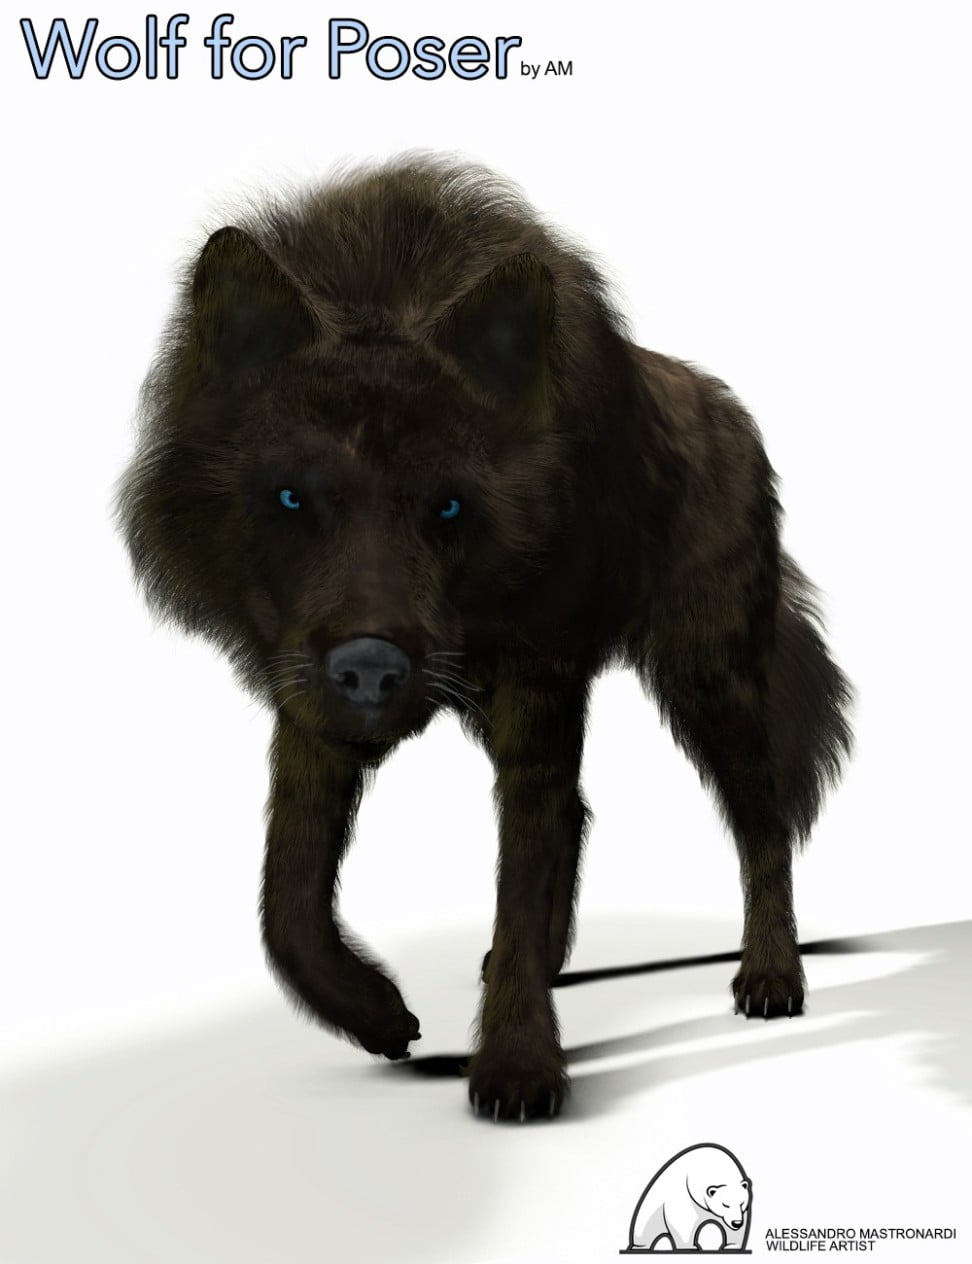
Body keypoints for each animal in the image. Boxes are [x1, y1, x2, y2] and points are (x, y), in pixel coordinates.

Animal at [117, 157, 852, 1121]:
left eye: (449, 506)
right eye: (290, 497)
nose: (369, 671)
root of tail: (731, 412)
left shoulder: (538, 684)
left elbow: (517, 871)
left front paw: (517, 1066)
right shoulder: (308, 708)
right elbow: (286, 905)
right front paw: (379, 1013)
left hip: (708, 678)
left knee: (762, 819)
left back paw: (771, 977)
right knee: (584, 816)